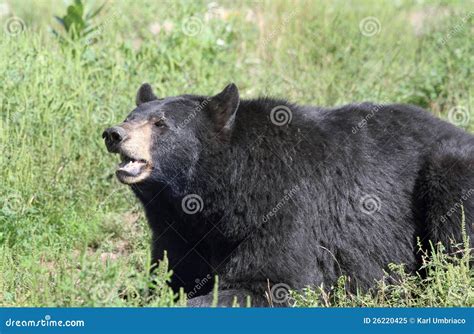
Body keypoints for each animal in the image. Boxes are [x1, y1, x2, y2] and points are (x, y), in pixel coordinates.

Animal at [102, 83, 472, 306]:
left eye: (160, 123)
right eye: (130, 116)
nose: (113, 133)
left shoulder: (281, 204)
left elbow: (275, 280)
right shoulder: (177, 229)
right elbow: (174, 271)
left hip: (449, 169)